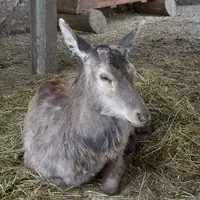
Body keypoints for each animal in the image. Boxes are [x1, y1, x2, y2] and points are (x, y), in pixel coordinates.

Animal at [23, 18, 150, 195]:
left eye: (133, 71)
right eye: (104, 76)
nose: (143, 116)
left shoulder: (117, 151)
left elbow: (109, 186)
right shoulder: (31, 162)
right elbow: (64, 182)